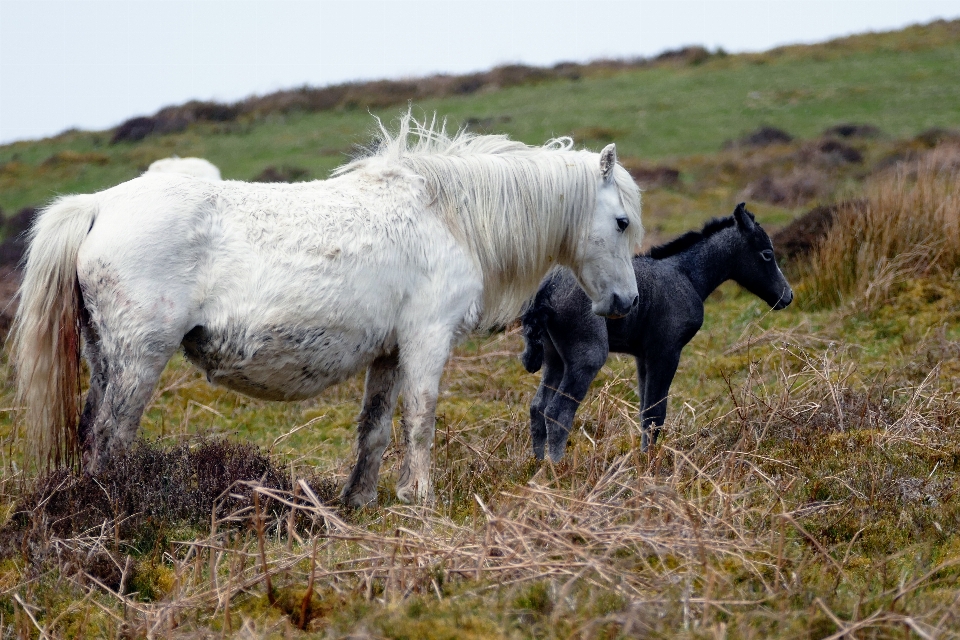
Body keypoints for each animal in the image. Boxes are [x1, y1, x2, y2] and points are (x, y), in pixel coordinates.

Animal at [11, 114, 640, 504]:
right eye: (621, 221)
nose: (628, 303)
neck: (445, 216)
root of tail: (99, 206)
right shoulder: (427, 340)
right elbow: (421, 420)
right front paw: (420, 497)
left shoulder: (389, 353)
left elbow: (376, 430)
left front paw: (359, 501)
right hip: (138, 361)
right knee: (109, 438)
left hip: (105, 357)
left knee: (92, 431)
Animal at [520, 202, 792, 458]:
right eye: (767, 254)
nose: (787, 296)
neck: (686, 275)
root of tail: (547, 289)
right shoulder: (666, 351)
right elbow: (655, 412)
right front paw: (649, 463)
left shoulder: (643, 356)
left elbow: (645, 411)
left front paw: (643, 458)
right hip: (587, 355)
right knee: (558, 412)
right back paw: (559, 470)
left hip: (554, 356)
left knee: (538, 407)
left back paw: (538, 467)